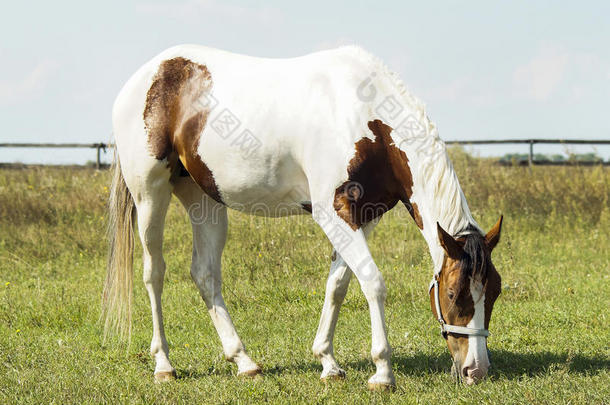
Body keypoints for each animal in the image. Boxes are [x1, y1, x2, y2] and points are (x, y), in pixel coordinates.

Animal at [104, 44, 502, 388]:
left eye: (494, 292)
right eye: (452, 294)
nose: (476, 370)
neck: (365, 118)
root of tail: (149, 75)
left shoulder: (364, 216)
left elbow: (338, 284)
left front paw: (328, 362)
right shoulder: (333, 212)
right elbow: (373, 282)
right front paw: (382, 371)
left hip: (204, 200)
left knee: (205, 274)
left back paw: (244, 361)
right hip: (150, 196)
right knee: (154, 274)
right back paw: (164, 364)